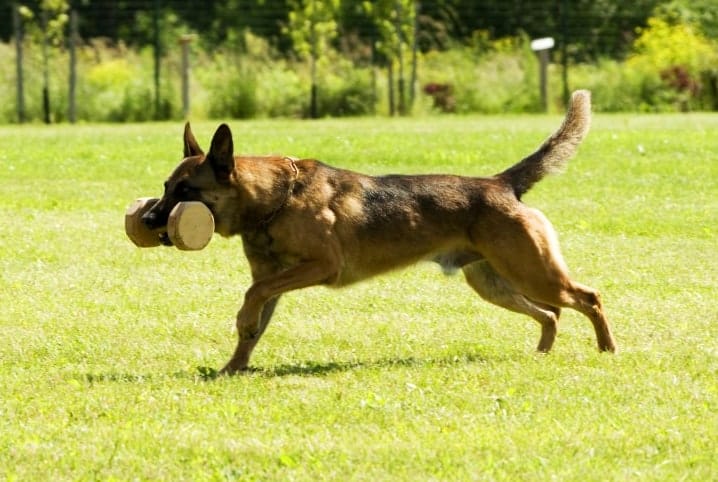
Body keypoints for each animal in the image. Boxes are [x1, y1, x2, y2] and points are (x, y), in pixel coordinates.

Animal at [142, 91, 620, 376]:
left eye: (185, 191)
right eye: (165, 187)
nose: (147, 222)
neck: (276, 199)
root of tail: (501, 184)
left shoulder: (321, 266)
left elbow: (251, 298)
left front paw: (240, 333)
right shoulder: (273, 280)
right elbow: (255, 320)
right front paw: (233, 367)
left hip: (534, 274)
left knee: (588, 297)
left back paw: (607, 349)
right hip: (495, 283)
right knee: (552, 314)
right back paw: (543, 353)